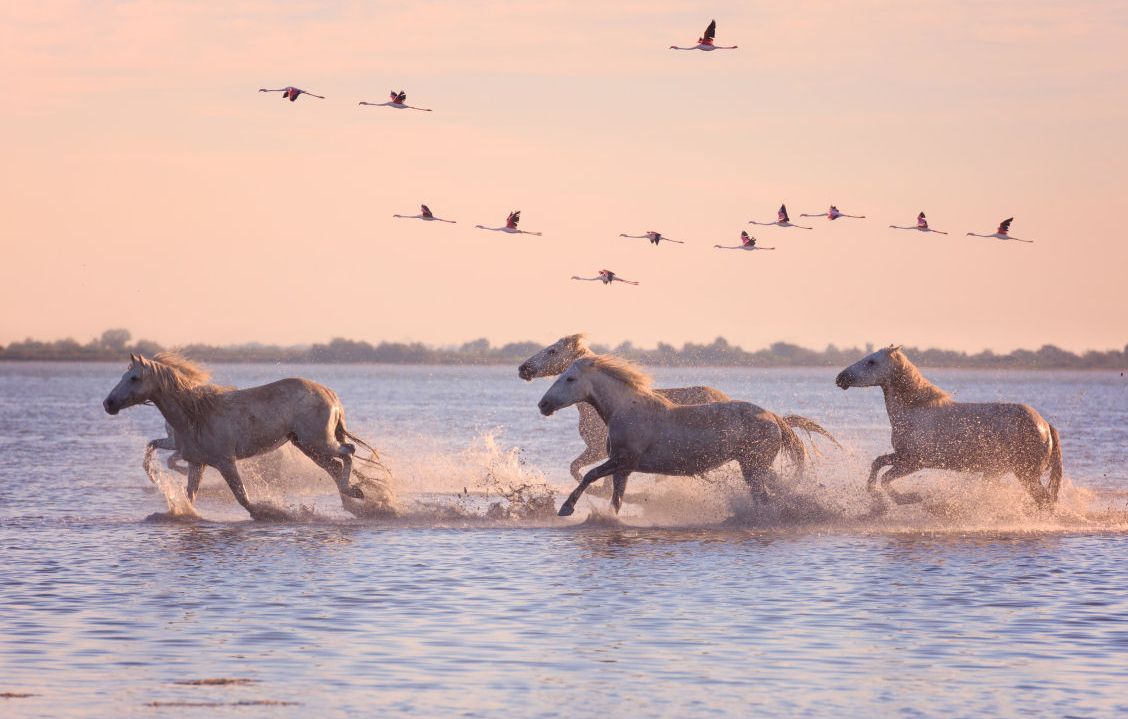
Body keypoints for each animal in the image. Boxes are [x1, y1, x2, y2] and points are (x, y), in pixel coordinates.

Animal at [104, 353, 388, 520]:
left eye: (134, 377)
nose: (108, 404)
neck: (195, 414)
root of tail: (330, 394)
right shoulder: (196, 461)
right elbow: (184, 488)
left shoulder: (225, 462)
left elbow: (242, 497)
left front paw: (271, 513)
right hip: (307, 446)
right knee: (336, 467)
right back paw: (355, 503)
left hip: (318, 442)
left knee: (348, 453)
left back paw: (356, 493)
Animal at [538, 355, 839, 516]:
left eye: (570, 379)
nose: (543, 404)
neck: (626, 409)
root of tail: (774, 417)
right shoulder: (623, 469)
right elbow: (616, 499)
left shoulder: (623, 461)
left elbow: (588, 475)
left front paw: (566, 508)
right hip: (756, 466)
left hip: (753, 468)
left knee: (764, 499)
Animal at [835, 346, 1063, 509]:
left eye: (871, 361)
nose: (840, 378)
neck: (915, 411)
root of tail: (1045, 425)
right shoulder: (901, 455)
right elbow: (877, 464)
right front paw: (876, 498)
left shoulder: (914, 462)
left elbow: (885, 478)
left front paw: (910, 498)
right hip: (1000, 472)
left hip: (1026, 475)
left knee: (1046, 502)